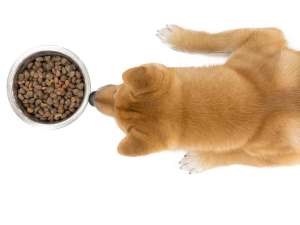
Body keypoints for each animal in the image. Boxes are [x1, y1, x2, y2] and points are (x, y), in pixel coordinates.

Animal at [89, 25, 300, 172]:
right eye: (117, 91)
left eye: (120, 126)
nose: (91, 97)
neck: (259, 99)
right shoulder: (264, 37)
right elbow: (216, 41)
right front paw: (177, 37)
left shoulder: (285, 157)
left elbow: (235, 154)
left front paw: (199, 160)